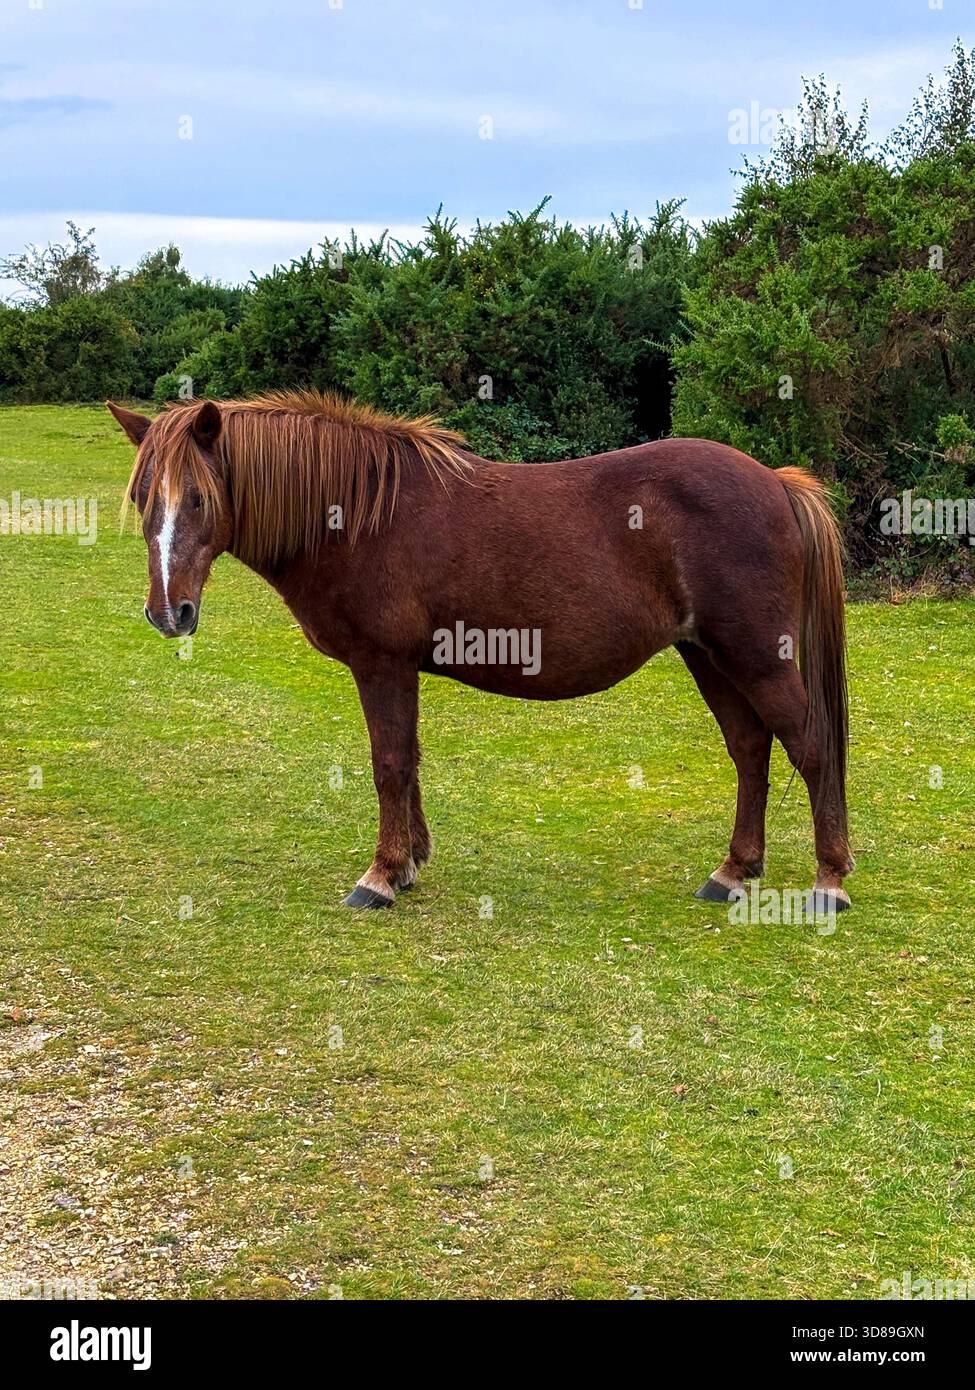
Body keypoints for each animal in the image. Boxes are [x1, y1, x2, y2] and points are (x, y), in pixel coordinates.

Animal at [107, 391, 853, 913]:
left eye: (198, 497)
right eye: (143, 497)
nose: (168, 614)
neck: (355, 515)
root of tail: (775, 482)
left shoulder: (382, 664)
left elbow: (388, 765)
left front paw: (380, 875)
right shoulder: (399, 669)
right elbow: (407, 761)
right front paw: (408, 863)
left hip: (757, 655)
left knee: (810, 746)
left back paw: (830, 880)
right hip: (708, 654)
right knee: (750, 750)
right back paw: (733, 870)